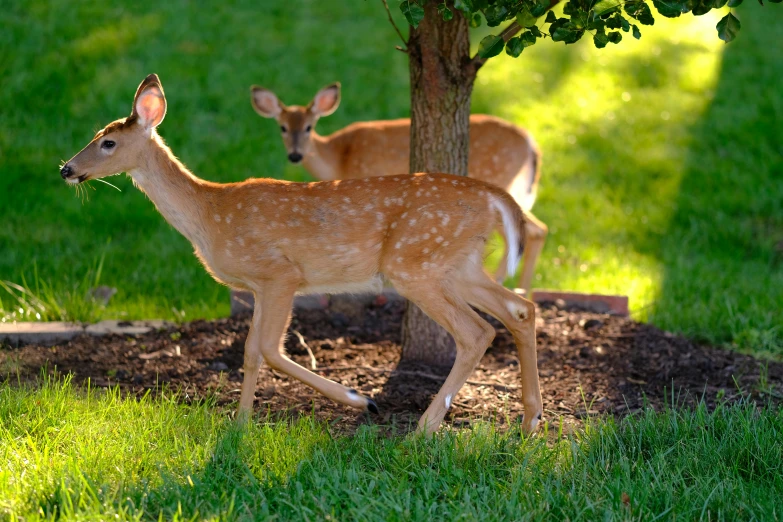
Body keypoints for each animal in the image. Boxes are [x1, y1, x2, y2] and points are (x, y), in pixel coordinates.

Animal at [61, 75, 544, 434]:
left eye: (108, 143)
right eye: (96, 135)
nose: (66, 169)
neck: (209, 214)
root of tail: (494, 197)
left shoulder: (280, 274)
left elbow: (270, 349)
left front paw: (361, 401)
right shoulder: (257, 286)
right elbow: (251, 352)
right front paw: (239, 425)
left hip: (416, 262)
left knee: (476, 331)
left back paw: (424, 429)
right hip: (459, 263)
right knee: (519, 309)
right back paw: (530, 420)